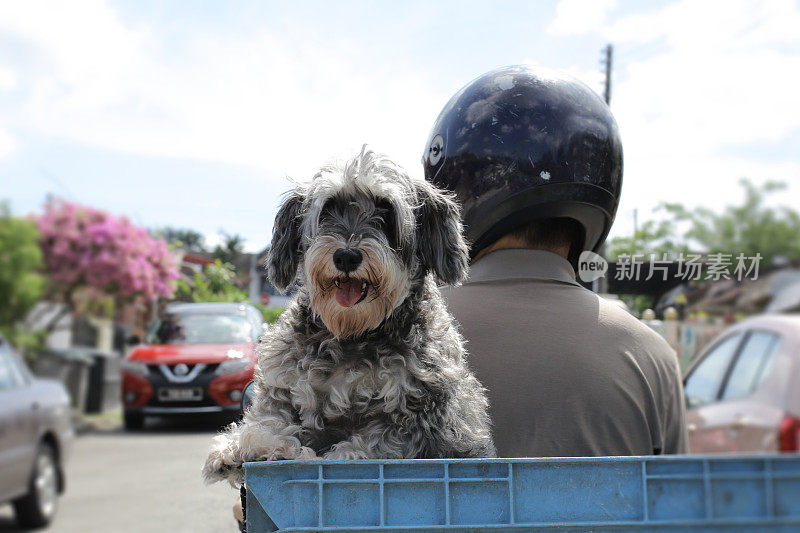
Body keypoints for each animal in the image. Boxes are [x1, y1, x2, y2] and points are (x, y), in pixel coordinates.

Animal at [202, 148, 494, 484]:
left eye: (386, 209)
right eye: (328, 209)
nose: (346, 256)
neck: (351, 334)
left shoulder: (418, 419)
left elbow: (369, 445)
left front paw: (317, 456)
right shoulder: (284, 389)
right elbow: (268, 420)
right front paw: (247, 447)